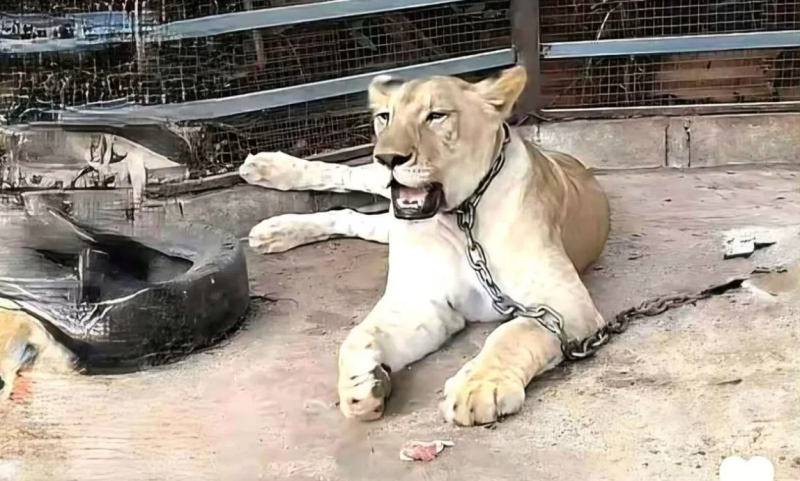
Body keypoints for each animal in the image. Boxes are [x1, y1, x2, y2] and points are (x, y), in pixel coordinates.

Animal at [238, 65, 611, 426]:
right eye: (385, 117)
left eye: (436, 116)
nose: (389, 158)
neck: (461, 218)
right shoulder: (418, 301)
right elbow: (358, 336)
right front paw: (360, 385)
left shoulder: (565, 303)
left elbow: (513, 333)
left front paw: (479, 387)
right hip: (377, 185)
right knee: (348, 176)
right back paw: (266, 171)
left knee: (350, 217)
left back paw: (274, 230)